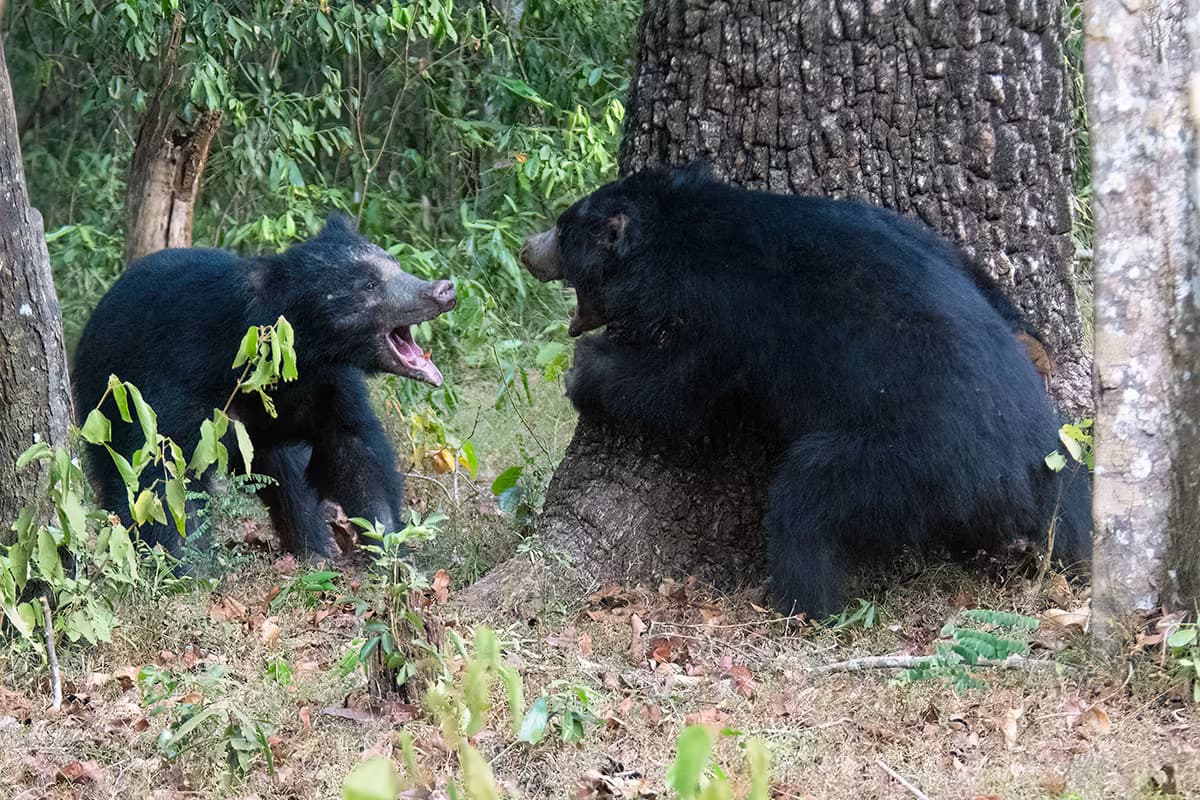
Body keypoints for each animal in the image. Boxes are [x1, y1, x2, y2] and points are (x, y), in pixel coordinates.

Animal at [72, 215, 456, 558]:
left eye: (396, 265)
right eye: (370, 285)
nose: (443, 290)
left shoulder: (328, 385)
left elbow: (356, 450)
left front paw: (391, 547)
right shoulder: (176, 381)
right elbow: (163, 470)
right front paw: (186, 566)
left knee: (290, 477)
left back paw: (314, 550)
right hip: (102, 403)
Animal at [519, 164, 1091, 618]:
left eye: (563, 229)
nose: (526, 249)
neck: (686, 228)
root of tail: (1025, 468)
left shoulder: (721, 311)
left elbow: (680, 391)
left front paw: (585, 369)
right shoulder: (890, 223)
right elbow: (961, 260)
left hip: (910, 459)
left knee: (806, 500)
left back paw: (799, 604)